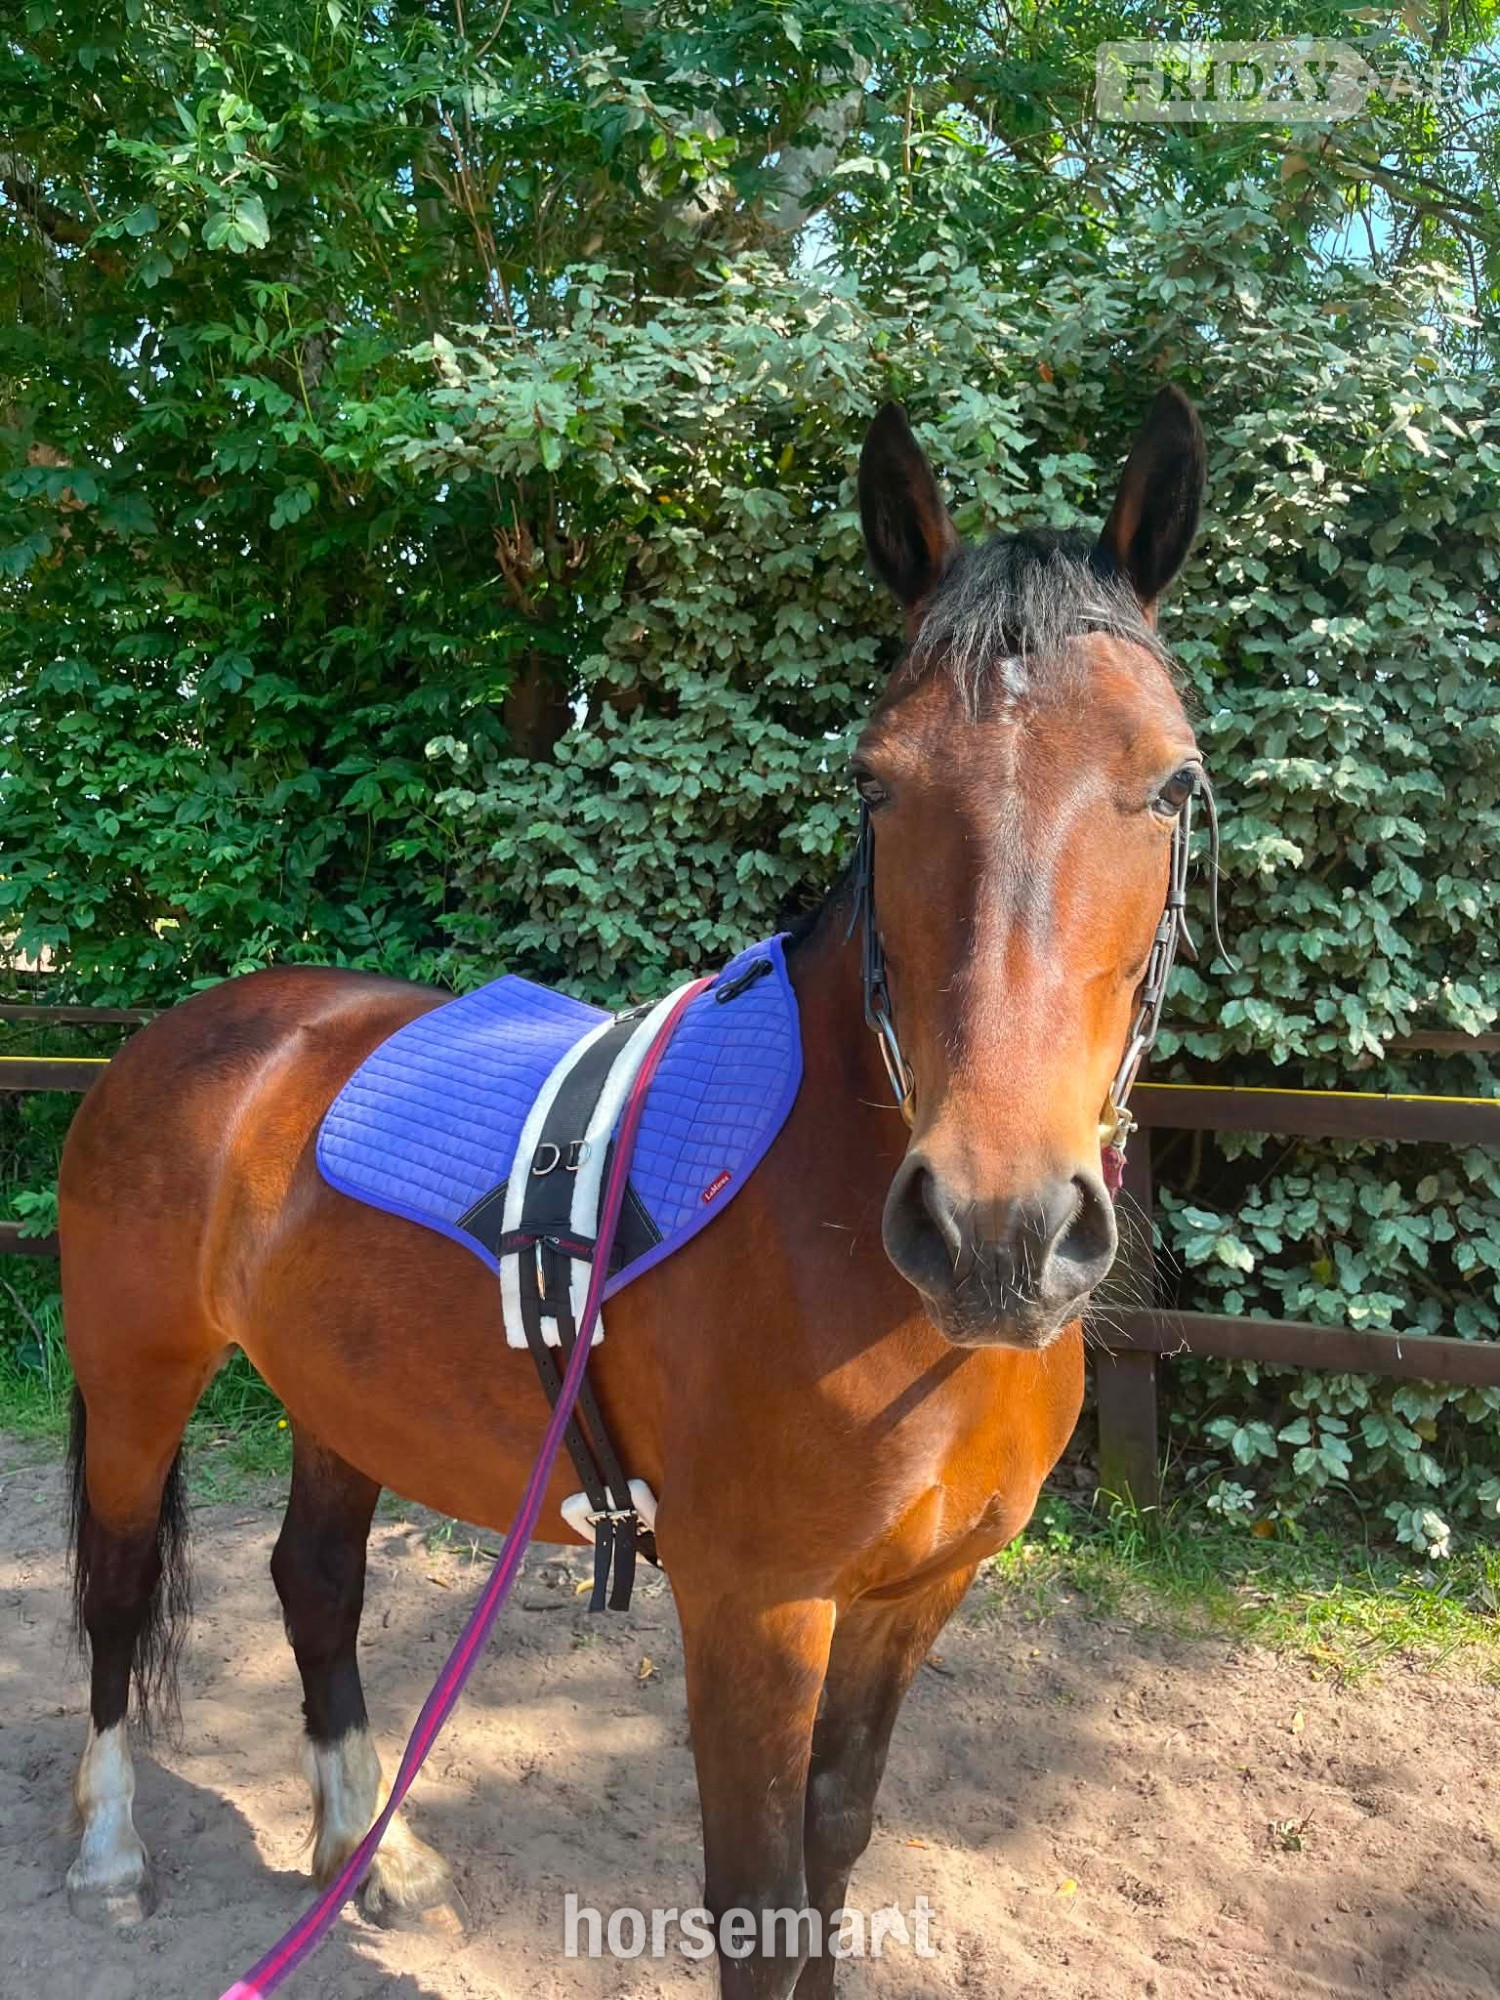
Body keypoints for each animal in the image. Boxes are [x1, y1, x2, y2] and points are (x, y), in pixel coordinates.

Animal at [59, 381, 1209, 1997]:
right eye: (875, 781)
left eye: (1171, 781)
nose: (999, 1228)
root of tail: (193, 1031)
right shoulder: (751, 1608)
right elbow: (760, 1902)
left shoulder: (910, 1600)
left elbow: (834, 1854)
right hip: (140, 1373)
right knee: (113, 1590)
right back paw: (110, 1856)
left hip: (338, 1394)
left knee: (315, 1582)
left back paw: (369, 1855)